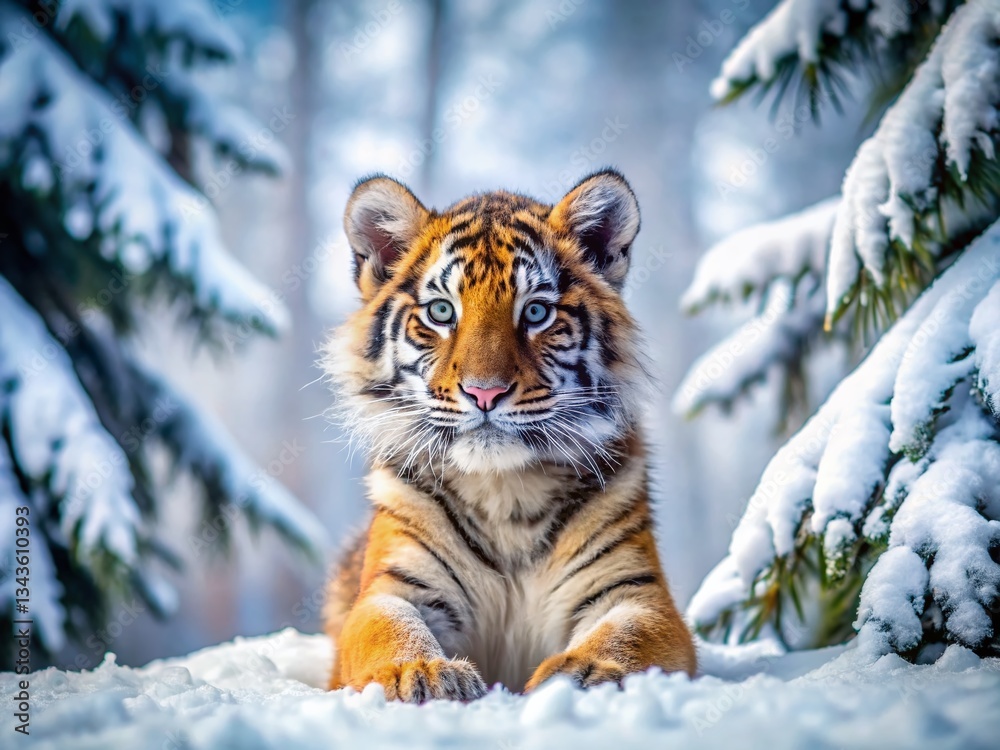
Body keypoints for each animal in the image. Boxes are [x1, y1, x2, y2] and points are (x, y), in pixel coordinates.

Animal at [322, 169, 696, 702]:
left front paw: (581, 673)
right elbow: (390, 630)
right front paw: (421, 672)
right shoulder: (392, 586)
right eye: (441, 311)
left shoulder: (635, 591)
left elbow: (627, 636)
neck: (505, 493)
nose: (485, 391)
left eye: (536, 313)